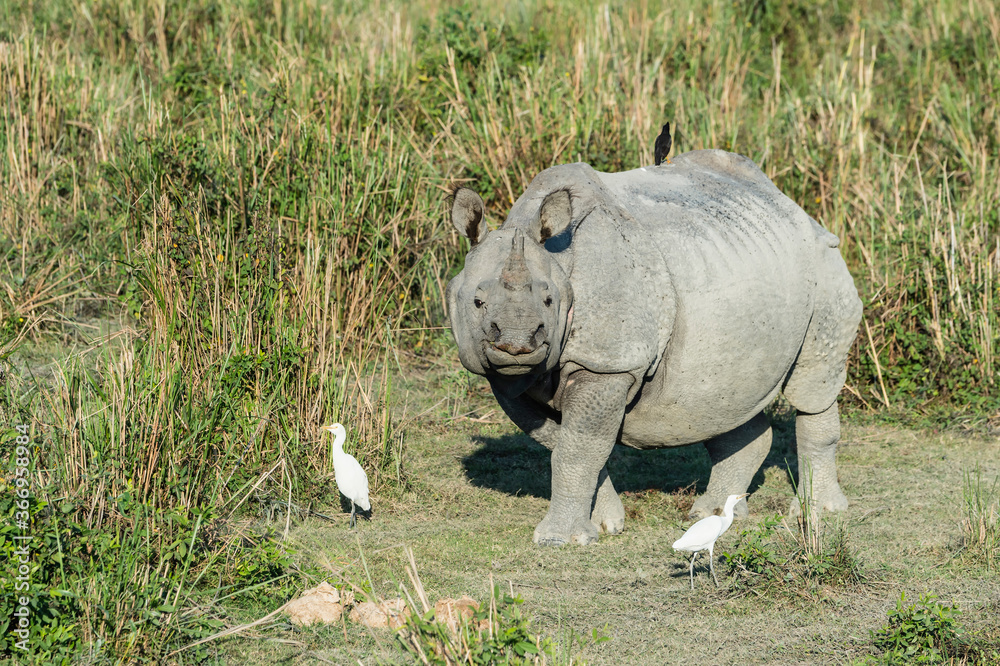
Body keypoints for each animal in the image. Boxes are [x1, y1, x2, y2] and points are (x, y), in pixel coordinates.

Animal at [446, 149, 862, 546]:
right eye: (478, 303)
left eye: (549, 302)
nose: (516, 343)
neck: (560, 265)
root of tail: (794, 207)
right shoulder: (506, 380)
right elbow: (564, 444)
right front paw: (606, 524)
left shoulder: (608, 363)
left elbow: (577, 449)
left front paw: (559, 539)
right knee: (725, 402)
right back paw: (712, 512)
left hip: (825, 265)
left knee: (813, 386)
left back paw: (817, 512)